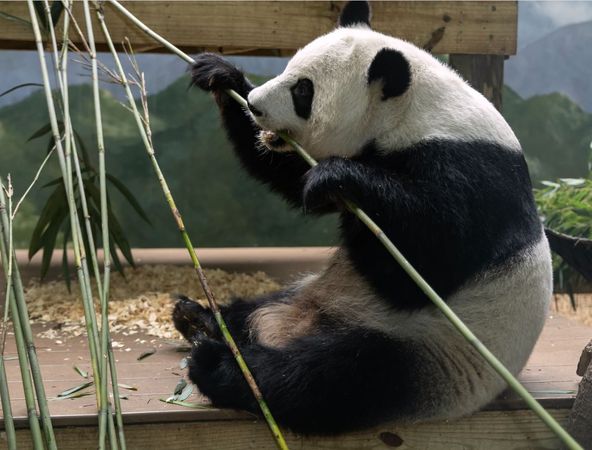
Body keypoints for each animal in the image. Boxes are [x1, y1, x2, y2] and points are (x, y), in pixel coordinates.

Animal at [173, 0, 552, 432]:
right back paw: (202, 318)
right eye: (287, 67)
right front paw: (220, 75)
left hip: (426, 350)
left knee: (332, 376)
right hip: (306, 291)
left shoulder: (475, 175)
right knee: (253, 313)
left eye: (303, 90)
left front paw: (341, 177)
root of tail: (287, 325)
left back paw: (219, 365)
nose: (254, 105)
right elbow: (289, 175)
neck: (415, 113)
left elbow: (424, 265)